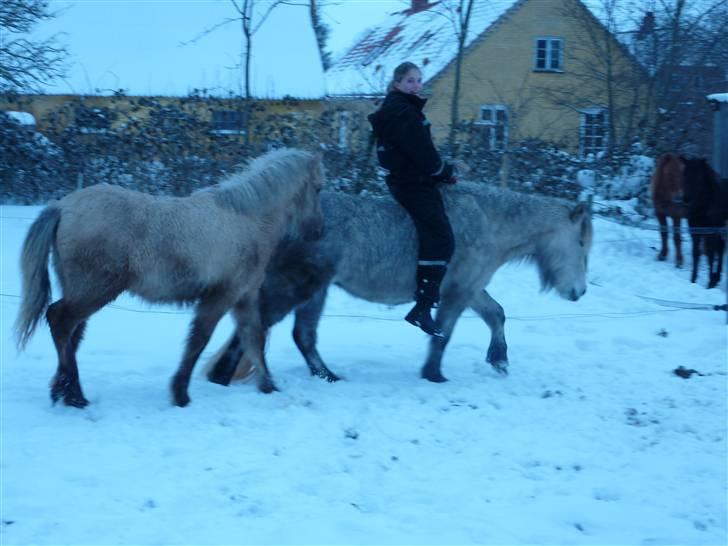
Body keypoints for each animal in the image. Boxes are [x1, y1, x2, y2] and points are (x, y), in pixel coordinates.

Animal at [14, 147, 324, 406]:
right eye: (318, 188)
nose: (317, 232)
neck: (246, 219)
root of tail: (63, 207)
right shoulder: (221, 296)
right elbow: (199, 339)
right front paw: (180, 394)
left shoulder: (243, 297)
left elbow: (253, 339)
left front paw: (268, 387)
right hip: (95, 291)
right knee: (60, 321)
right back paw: (75, 395)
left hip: (80, 289)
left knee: (71, 334)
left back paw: (62, 391)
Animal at [205, 181, 592, 384]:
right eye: (581, 243)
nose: (579, 292)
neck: (488, 220)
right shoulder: (458, 291)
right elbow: (443, 333)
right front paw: (434, 374)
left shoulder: (470, 287)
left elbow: (496, 314)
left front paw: (499, 359)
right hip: (299, 286)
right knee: (263, 327)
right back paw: (222, 376)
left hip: (316, 290)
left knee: (303, 336)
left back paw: (326, 375)